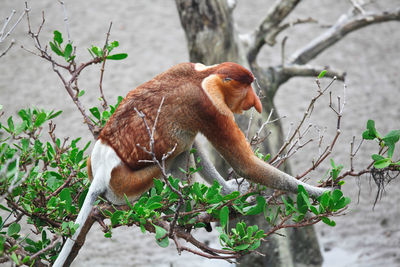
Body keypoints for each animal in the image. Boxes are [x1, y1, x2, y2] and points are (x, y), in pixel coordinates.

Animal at [53, 62, 328, 266]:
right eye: (246, 87)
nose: (256, 102)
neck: (204, 76)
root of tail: (102, 168)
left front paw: (231, 191)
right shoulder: (211, 108)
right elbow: (245, 165)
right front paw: (320, 192)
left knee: (186, 146)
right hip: (127, 186)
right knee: (179, 154)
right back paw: (188, 209)